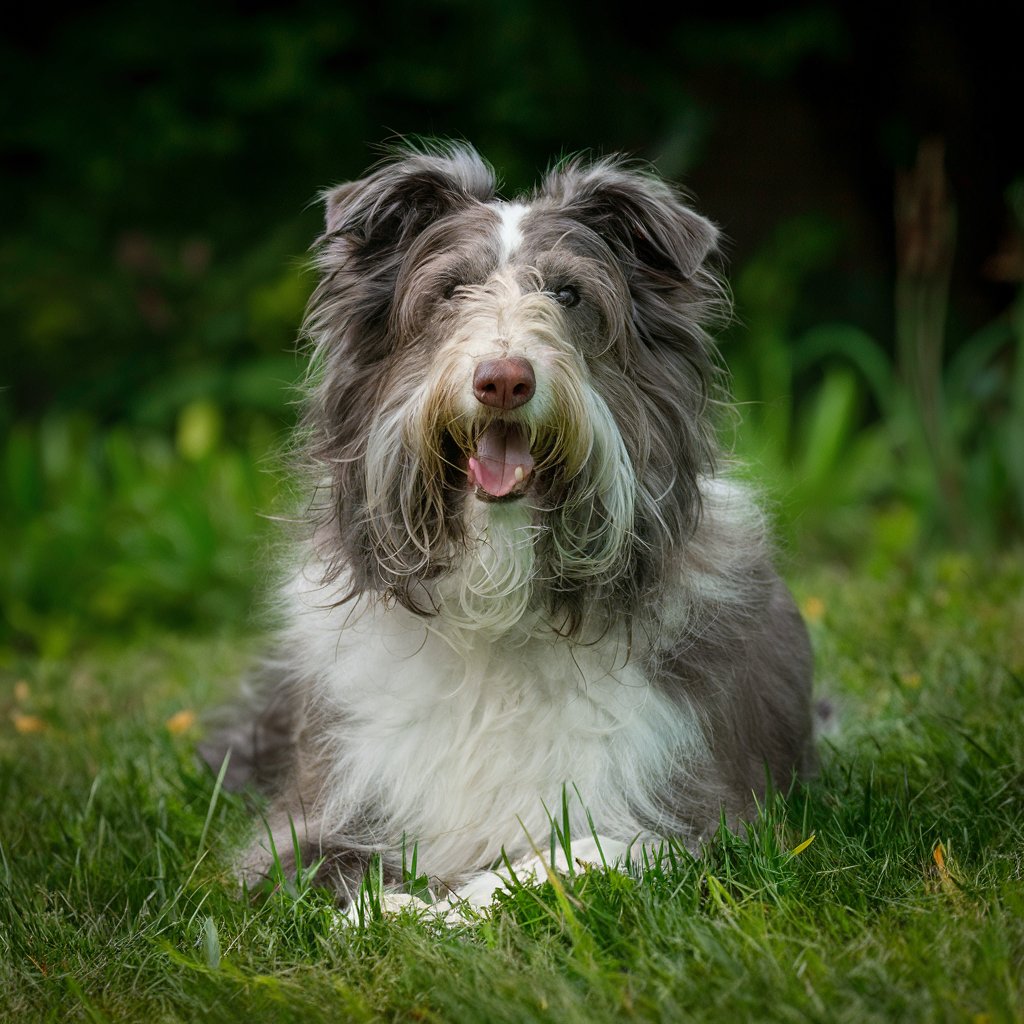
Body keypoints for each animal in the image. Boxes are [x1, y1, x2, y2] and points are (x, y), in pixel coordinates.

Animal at [203, 138, 811, 913]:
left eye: (569, 294)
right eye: (450, 291)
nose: (503, 380)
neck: (498, 596)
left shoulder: (705, 826)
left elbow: (553, 865)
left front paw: (436, 913)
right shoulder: (304, 821)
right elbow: (325, 870)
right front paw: (388, 908)